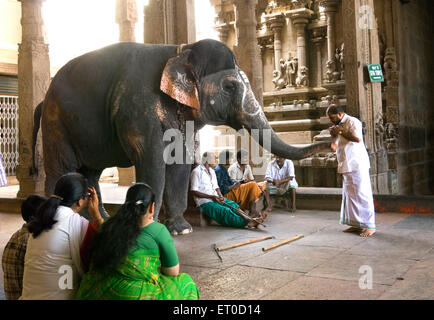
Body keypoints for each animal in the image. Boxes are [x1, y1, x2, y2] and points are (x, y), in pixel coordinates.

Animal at [32, 39, 328, 235]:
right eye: (230, 86)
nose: (329, 135)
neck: (178, 50)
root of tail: (43, 99)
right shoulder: (138, 106)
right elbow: (152, 160)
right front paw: (150, 228)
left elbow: (180, 160)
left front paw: (182, 230)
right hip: (56, 123)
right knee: (63, 168)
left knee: (90, 173)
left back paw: (99, 220)